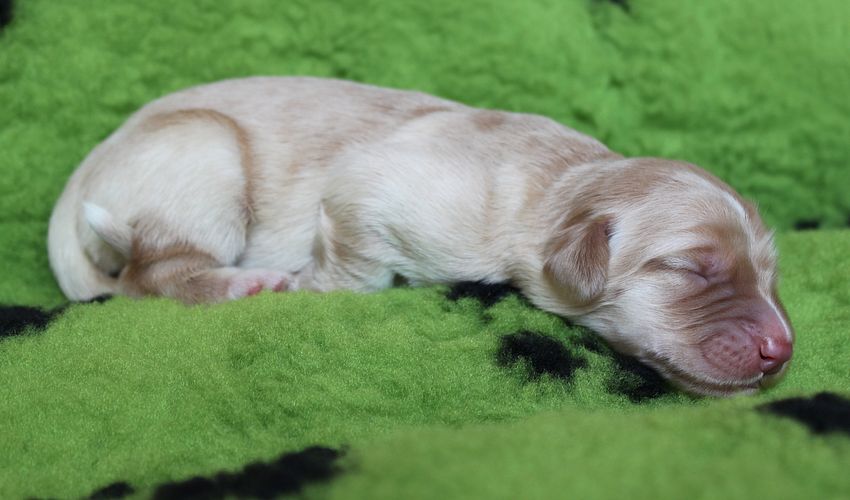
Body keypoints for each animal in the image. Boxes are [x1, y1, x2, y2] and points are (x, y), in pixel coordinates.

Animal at [48, 77, 794, 396]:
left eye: (770, 274)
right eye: (692, 268)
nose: (782, 349)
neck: (557, 183)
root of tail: (74, 188)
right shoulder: (368, 189)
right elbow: (357, 266)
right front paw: (316, 287)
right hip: (207, 152)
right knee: (147, 276)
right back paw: (244, 283)